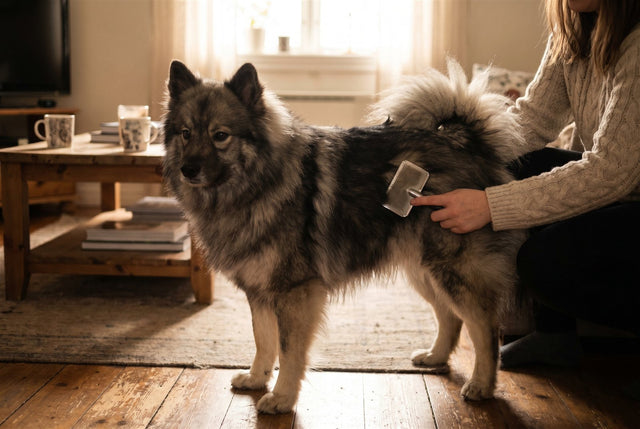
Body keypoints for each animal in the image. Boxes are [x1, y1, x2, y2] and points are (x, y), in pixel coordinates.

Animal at [163, 59, 527, 414]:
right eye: (185, 133)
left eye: (220, 135)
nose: (188, 169)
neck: (256, 185)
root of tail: (469, 147)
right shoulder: (260, 291)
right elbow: (263, 341)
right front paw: (256, 378)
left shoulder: (295, 292)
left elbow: (289, 351)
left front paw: (281, 398)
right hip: (423, 270)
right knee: (450, 317)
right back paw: (435, 357)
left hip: (453, 271)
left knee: (484, 329)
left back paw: (481, 385)